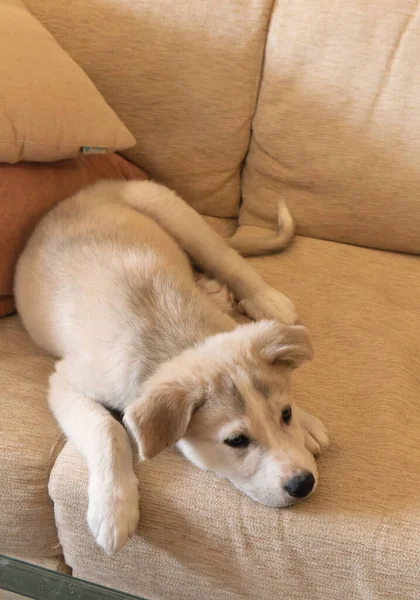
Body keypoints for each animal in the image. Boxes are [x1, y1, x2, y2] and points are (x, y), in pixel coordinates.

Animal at [14, 180, 328, 556]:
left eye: (285, 414)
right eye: (236, 441)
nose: (303, 483)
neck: (179, 343)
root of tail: (87, 192)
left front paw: (306, 423)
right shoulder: (64, 383)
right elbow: (107, 429)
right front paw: (114, 508)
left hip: (175, 213)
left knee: (229, 261)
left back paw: (264, 298)